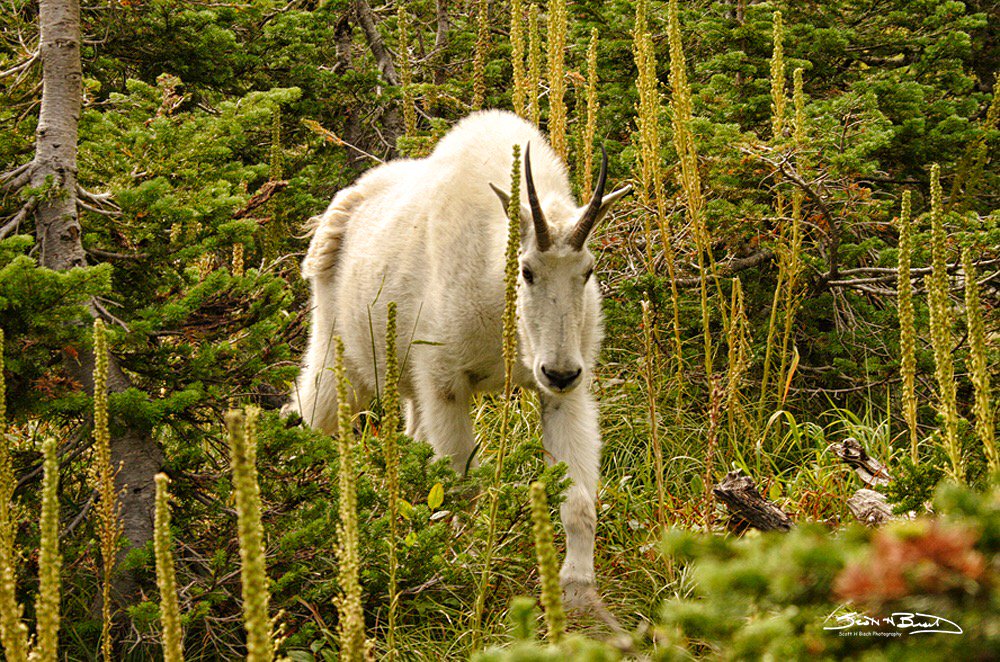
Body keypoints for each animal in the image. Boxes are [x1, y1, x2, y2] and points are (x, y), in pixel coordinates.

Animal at [288, 109, 630, 607]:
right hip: (339, 357)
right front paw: (467, 573)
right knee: (310, 414)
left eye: (588, 271)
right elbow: (463, 486)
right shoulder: (447, 384)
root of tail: (340, 210)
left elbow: (579, 500)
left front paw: (578, 590)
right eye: (526, 270)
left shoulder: (564, 394)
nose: (559, 371)